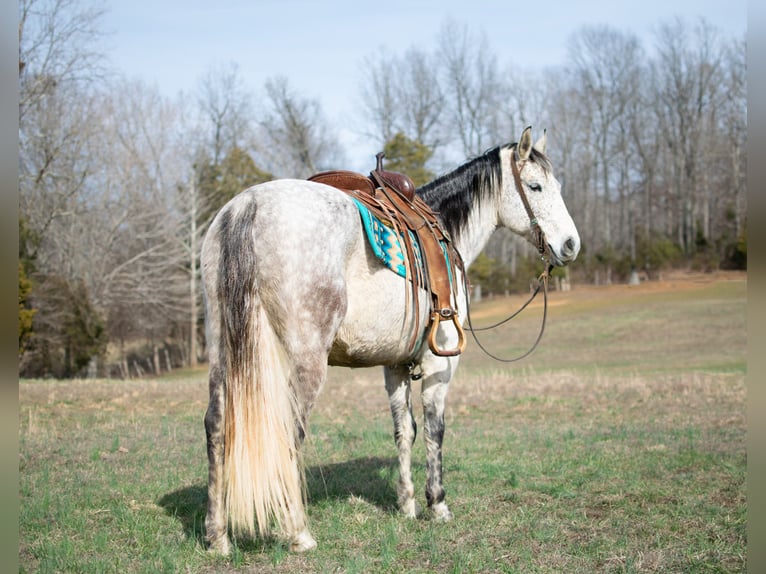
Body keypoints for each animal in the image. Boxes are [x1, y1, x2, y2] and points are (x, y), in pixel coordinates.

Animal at [201, 128, 580, 556]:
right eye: (535, 186)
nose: (570, 245)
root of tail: (247, 207)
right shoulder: (440, 364)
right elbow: (434, 429)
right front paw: (437, 504)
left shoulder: (394, 365)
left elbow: (405, 430)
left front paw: (407, 504)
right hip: (303, 361)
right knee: (288, 430)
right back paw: (298, 532)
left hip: (222, 355)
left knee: (216, 426)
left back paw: (217, 535)